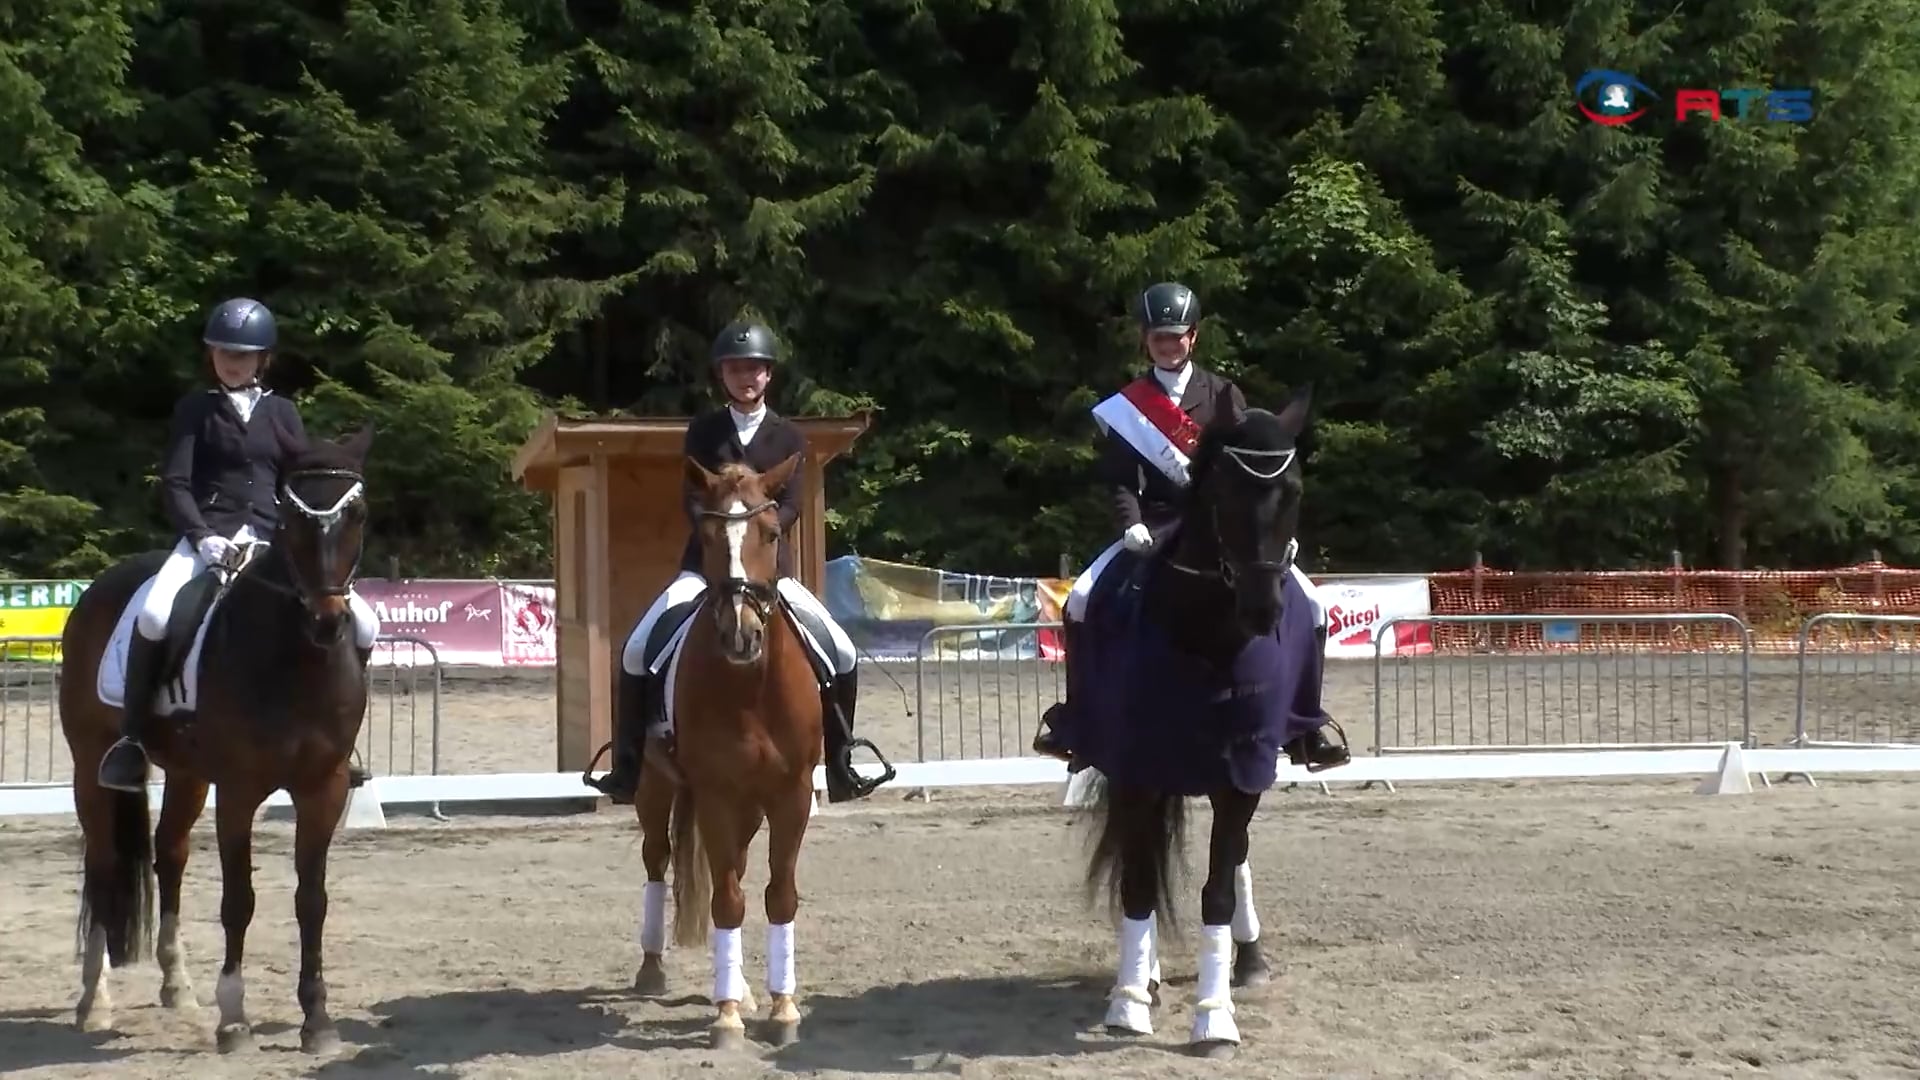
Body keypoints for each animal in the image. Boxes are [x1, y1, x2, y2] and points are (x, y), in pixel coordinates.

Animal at [58, 422, 380, 1053]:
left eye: (356, 513)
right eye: (293, 515)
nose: (328, 622)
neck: (295, 659)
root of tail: (100, 585)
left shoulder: (324, 787)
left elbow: (312, 900)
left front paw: (317, 1020)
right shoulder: (238, 790)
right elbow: (239, 901)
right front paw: (234, 1019)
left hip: (186, 775)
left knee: (170, 855)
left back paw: (177, 987)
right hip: (90, 765)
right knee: (103, 866)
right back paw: (94, 1003)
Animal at [629, 451, 825, 1045]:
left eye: (771, 533)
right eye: (708, 534)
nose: (741, 634)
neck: (751, 686)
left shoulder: (790, 795)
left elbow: (779, 895)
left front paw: (783, 1008)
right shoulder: (715, 793)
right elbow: (727, 899)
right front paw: (727, 1017)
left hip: (751, 805)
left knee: (731, 862)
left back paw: (743, 986)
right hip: (655, 787)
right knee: (657, 859)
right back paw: (655, 969)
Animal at [1052, 390, 1336, 1053]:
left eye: (1296, 491)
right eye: (1224, 492)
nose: (1263, 609)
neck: (1207, 636)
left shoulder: (1244, 768)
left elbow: (1219, 887)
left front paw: (1215, 1015)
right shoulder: (1137, 765)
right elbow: (1137, 879)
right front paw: (1129, 1000)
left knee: (1234, 860)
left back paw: (1248, 958)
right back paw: (1150, 972)